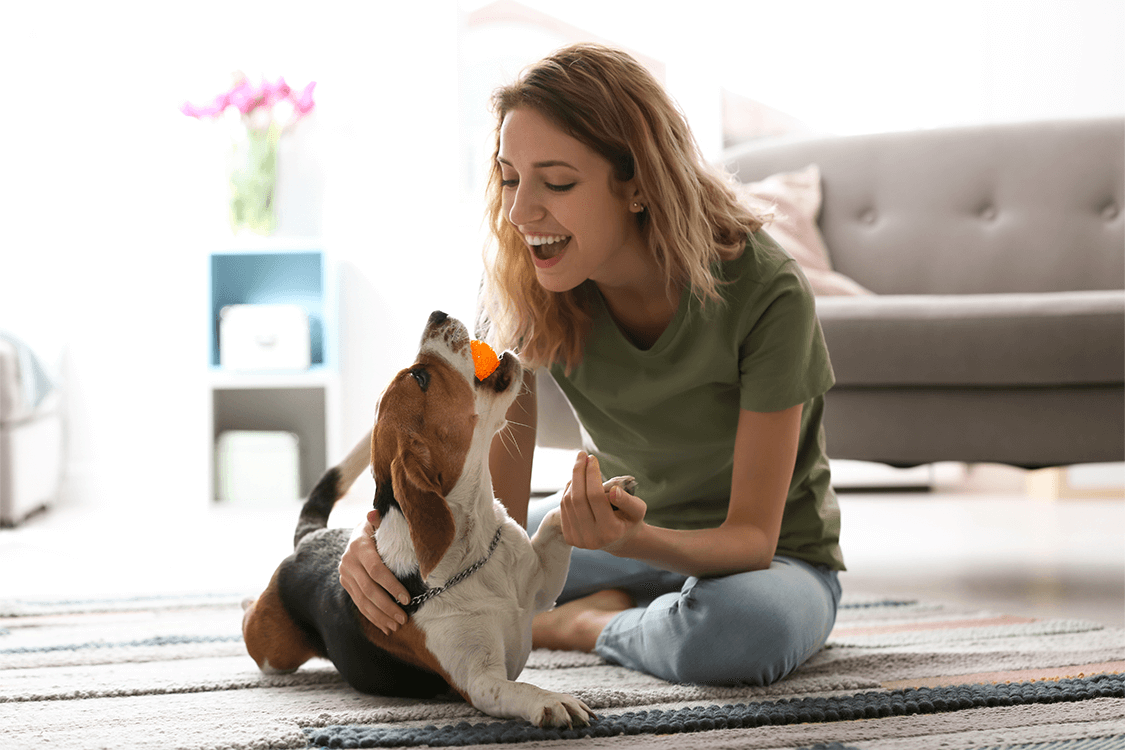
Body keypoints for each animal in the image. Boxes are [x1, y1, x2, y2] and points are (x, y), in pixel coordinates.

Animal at [244, 310, 598, 728]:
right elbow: (519, 689)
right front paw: (552, 700)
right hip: (273, 652)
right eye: (420, 377)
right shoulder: (480, 680)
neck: (472, 546)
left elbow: (554, 524)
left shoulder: (542, 588)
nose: (437, 314)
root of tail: (310, 537)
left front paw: (599, 494)